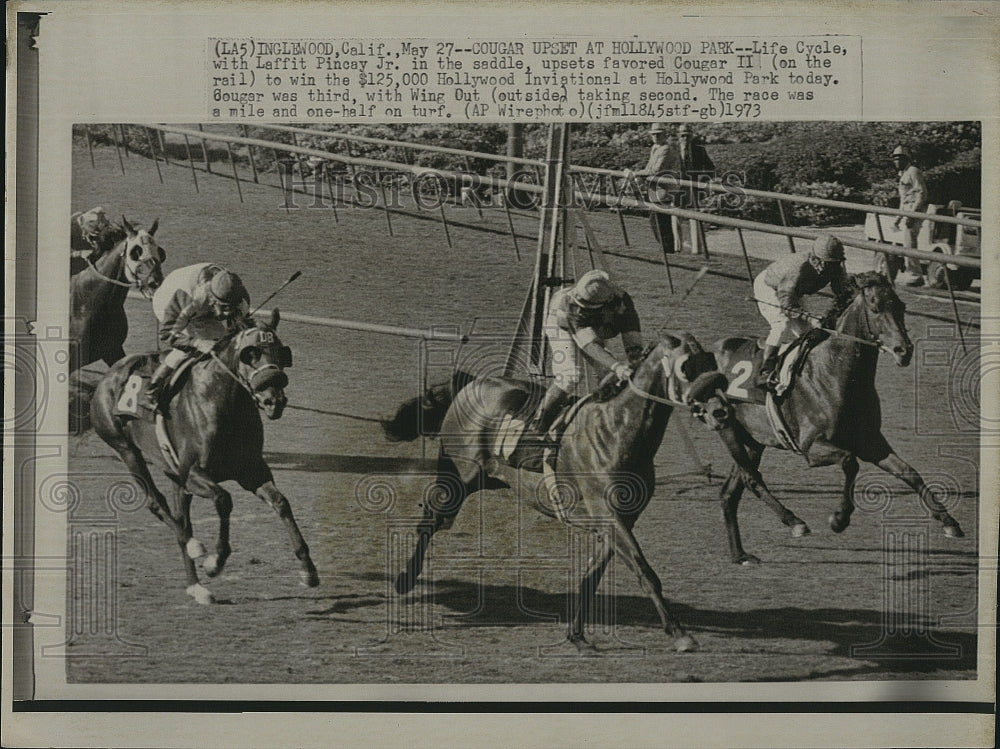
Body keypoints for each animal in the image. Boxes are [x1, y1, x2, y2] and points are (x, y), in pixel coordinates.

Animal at [90, 310, 318, 600]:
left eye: (281, 352)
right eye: (250, 354)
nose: (273, 400)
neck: (222, 404)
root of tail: (106, 378)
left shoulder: (251, 470)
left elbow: (281, 502)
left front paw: (308, 569)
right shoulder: (193, 473)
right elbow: (224, 499)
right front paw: (215, 561)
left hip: (173, 475)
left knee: (180, 518)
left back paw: (195, 586)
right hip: (126, 450)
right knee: (159, 505)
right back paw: (195, 548)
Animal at [382, 336, 720, 652]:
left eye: (712, 362)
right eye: (687, 367)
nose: (721, 410)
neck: (618, 430)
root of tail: (472, 382)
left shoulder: (623, 518)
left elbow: (592, 576)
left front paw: (577, 635)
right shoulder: (606, 513)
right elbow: (644, 570)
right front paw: (680, 633)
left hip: (489, 479)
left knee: (436, 517)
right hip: (462, 475)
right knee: (432, 519)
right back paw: (404, 580)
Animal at [692, 272, 964, 564]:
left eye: (901, 306)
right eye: (876, 308)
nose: (904, 350)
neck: (835, 373)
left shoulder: (870, 442)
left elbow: (909, 472)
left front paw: (949, 521)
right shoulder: (811, 447)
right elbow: (850, 462)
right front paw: (839, 519)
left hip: (753, 440)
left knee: (731, 491)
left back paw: (740, 554)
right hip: (727, 427)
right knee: (752, 479)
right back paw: (795, 522)